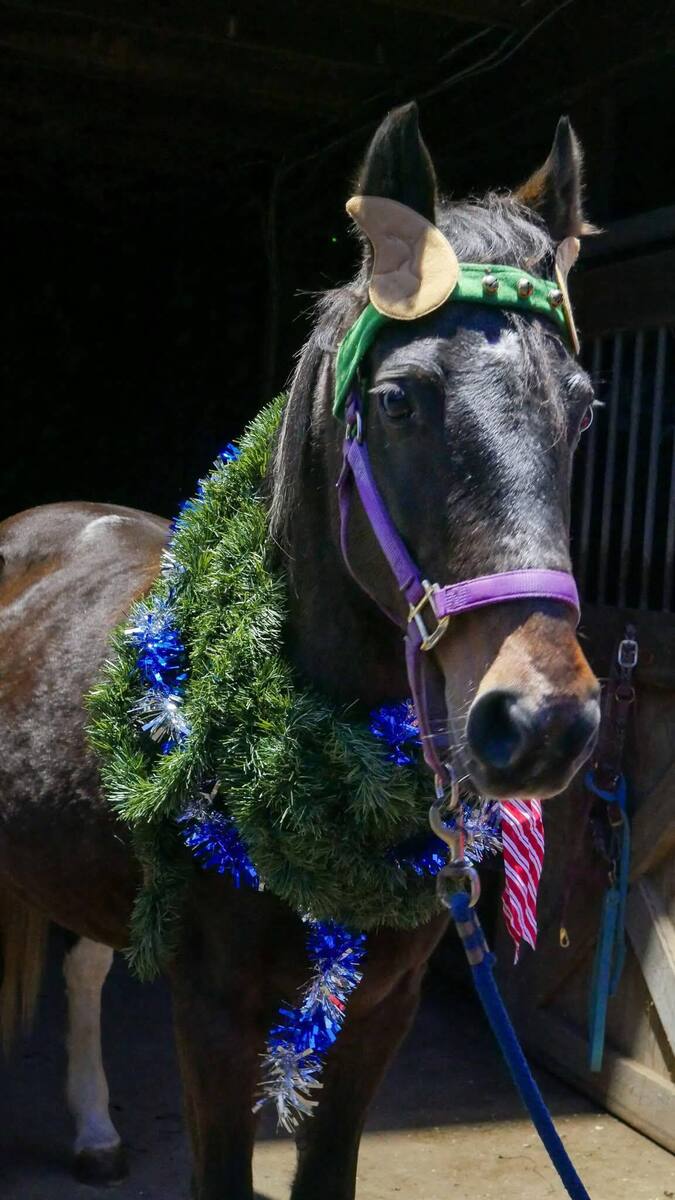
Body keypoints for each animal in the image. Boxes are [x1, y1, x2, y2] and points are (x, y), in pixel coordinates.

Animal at [0, 102, 600, 1199]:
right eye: (400, 399)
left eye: (582, 407)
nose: (542, 722)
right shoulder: (213, 1015)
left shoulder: (378, 1013)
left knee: (84, 965)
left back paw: (96, 1130)